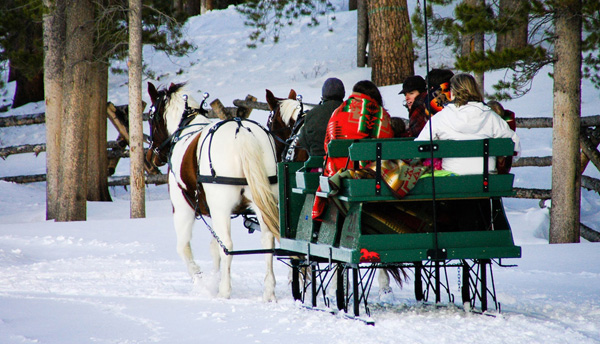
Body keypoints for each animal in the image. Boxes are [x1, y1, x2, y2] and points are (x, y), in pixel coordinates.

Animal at [149, 81, 282, 300]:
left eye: (151, 116)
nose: (151, 157)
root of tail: (241, 130)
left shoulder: (183, 209)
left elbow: (183, 248)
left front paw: (202, 282)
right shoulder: (213, 212)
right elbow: (214, 248)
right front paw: (214, 277)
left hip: (221, 208)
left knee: (227, 245)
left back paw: (224, 291)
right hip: (261, 201)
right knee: (267, 240)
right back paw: (269, 292)